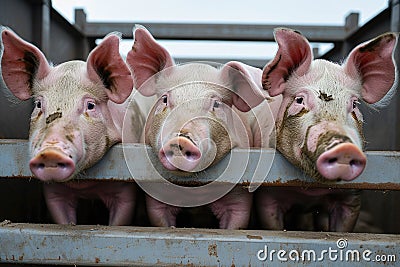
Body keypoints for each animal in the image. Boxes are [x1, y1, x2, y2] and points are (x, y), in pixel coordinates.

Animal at [0, 27, 147, 226]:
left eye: (90, 105)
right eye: (38, 104)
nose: (50, 152)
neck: (86, 186)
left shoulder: (125, 187)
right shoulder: (53, 193)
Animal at [255, 27, 398, 232]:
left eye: (355, 105)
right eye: (299, 100)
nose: (344, 147)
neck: (309, 193)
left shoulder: (351, 199)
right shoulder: (267, 198)